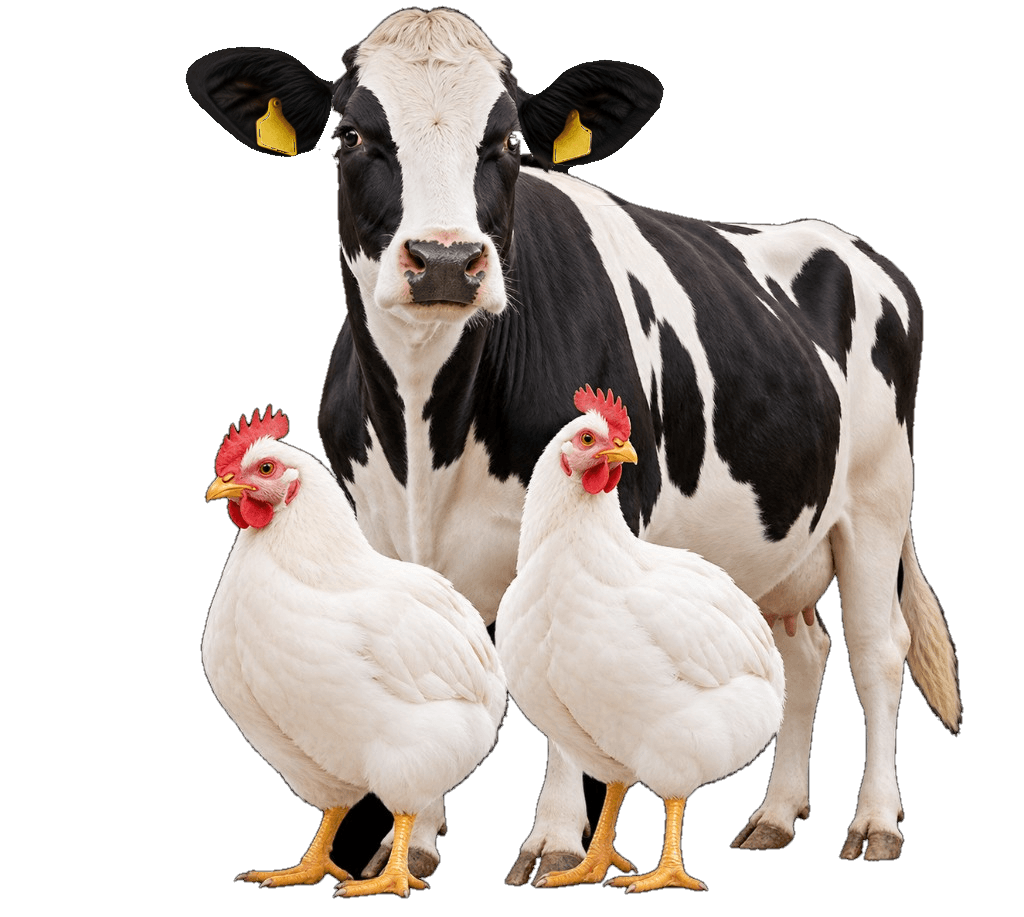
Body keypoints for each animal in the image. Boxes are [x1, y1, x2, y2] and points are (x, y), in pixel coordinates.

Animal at [186, 6, 960, 886]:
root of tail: (852, 243)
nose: (447, 260)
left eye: (511, 140)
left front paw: (554, 838)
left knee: (877, 650)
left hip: (876, 501)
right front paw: (412, 843)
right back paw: (773, 813)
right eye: (350, 134)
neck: (426, 436)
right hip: (779, 539)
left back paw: (875, 821)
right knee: (804, 649)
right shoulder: (379, 530)